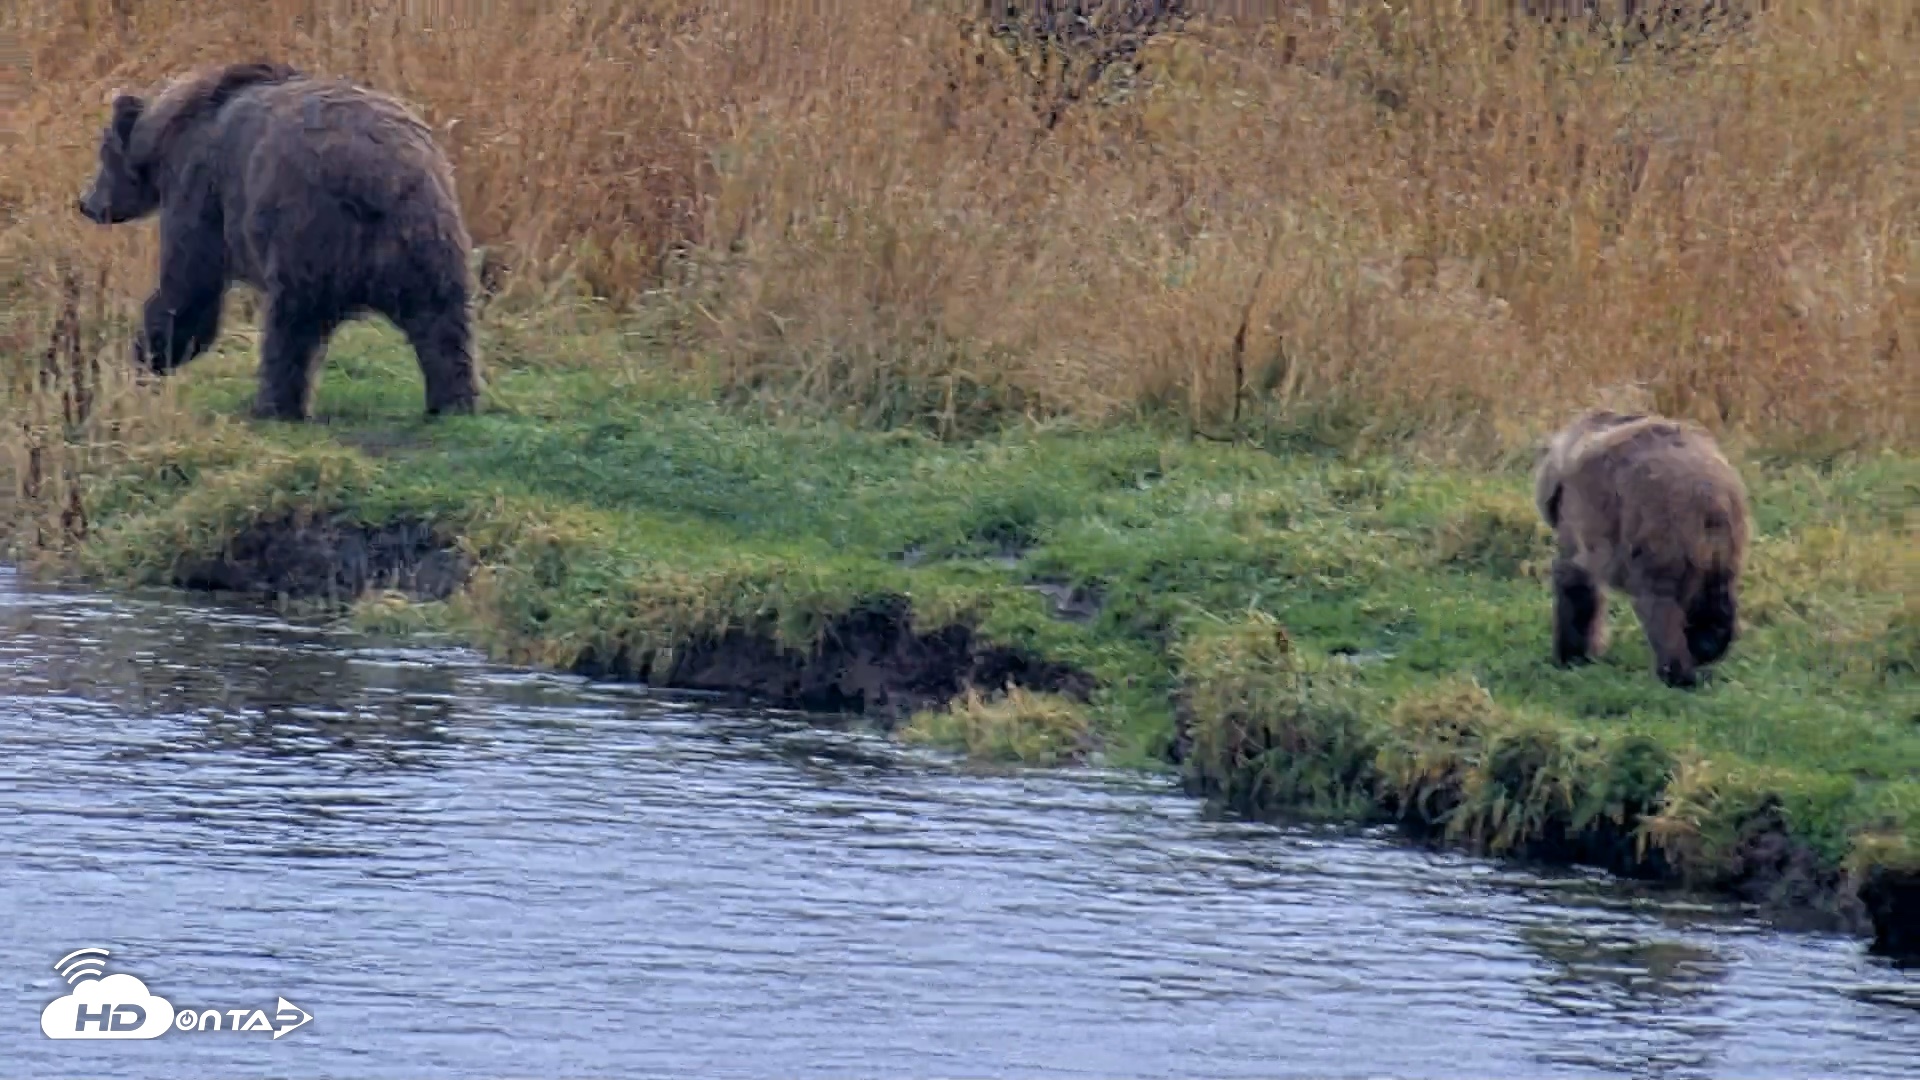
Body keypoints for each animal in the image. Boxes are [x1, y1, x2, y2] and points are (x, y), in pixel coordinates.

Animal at [75, 61, 478, 421]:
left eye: (103, 153)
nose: (86, 203)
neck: (167, 139)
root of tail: (383, 175)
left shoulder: (200, 188)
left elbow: (188, 287)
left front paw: (145, 357)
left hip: (306, 232)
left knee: (291, 325)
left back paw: (274, 405)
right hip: (428, 237)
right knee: (443, 322)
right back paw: (453, 400)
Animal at [1532, 407, 1751, 689]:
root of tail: (1708, 497)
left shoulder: (1580, 514)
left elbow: (1575, 582)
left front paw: (1571, 655)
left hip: (1657, 525)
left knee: (1659, 603)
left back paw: (1675, 671)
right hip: (1723, 542)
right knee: (1716, 600)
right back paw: (1705, 650)